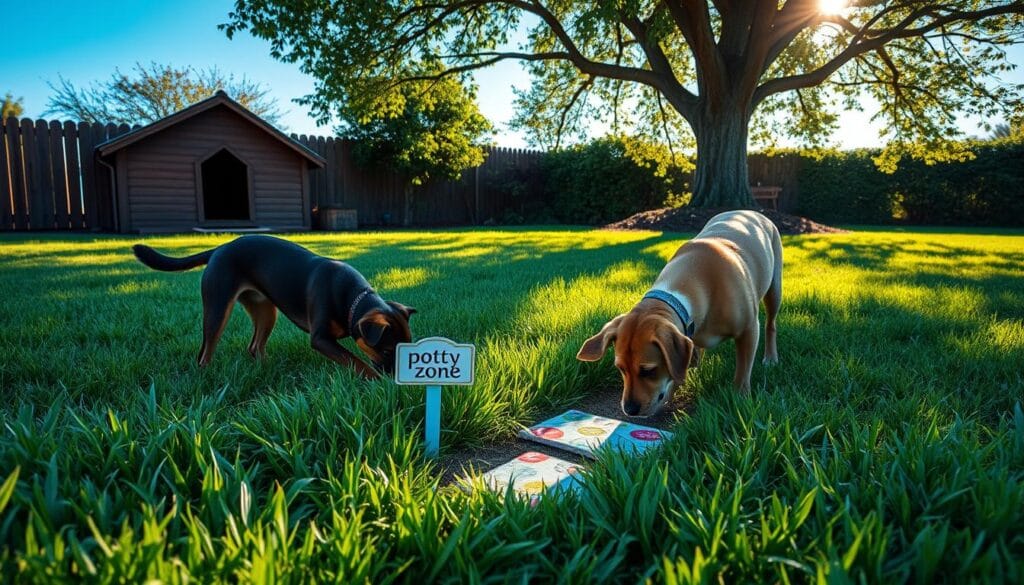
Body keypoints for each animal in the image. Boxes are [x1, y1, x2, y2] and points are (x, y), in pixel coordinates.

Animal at [132, 234, 411, 377]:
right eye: (387, 350)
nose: (398, 375)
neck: (353, 300)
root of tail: (220, 248)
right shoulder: (320, 338)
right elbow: (355, 361)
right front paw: (375, 380)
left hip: (266, 312)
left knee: (254, 346)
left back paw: (268, 369)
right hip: (218, 308)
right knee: (205, 352)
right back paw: (206, 377)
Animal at [577, 211, 782, 415]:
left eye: (648, 370)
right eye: (620, 368)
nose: (629, 409)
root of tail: (752, 212)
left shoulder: (749, 330)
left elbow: (743, 371)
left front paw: (740, 398)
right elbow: (678, 369)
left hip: (775, 287)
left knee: (770, 324)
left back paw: (771, 357)